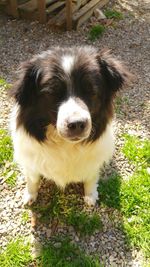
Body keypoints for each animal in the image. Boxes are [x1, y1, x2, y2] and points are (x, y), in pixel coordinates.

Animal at [9, 46, 130, 205]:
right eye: (52, 93)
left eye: (91, 91)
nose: (77, 124)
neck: (66, 145)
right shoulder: (30, 160)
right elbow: (32, 179)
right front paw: (29, 197)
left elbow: (91, 177)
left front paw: (91, 196)